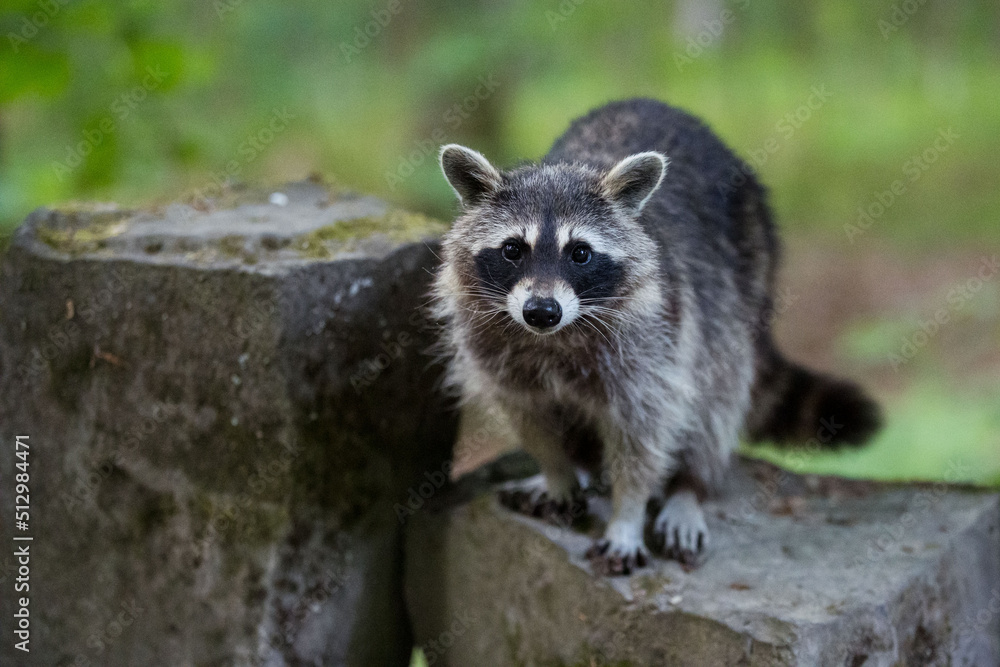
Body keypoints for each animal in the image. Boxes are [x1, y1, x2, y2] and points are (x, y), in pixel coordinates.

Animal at [434, 98, 880, 576]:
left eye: (580, 253)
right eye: (513, 249)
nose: (541, 311)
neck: (554, 337)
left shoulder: (652, 346)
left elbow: (643, 436)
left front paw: (627, 514)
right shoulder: (495, 352)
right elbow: (530, 418)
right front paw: (557, 471)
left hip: (743, 281)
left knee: (718, 391)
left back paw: (689, 486)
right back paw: (582, 465)